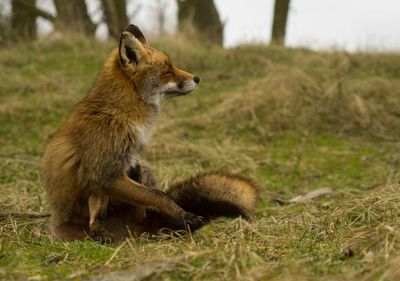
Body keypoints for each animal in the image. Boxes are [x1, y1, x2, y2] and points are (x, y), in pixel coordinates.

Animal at [42, 24, 258, 241]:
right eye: (167, 70)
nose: (197, 78)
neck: (120, 113)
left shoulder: (110, 173)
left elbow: (106, 209)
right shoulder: (106, 173)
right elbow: (158, 195)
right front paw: (183, 215)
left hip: (139, 168)